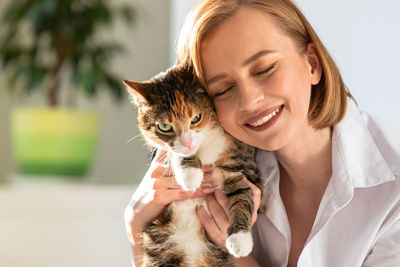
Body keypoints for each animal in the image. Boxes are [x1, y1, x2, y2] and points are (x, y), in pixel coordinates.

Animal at [123, 65, 264, 267]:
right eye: (164, 127)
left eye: (196, 118)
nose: (188, 143)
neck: (204, 145)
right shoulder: (162, 149)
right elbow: (173, 151)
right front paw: (190, 174)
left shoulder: (238, 164)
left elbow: (242, 195)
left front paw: (240, 240)